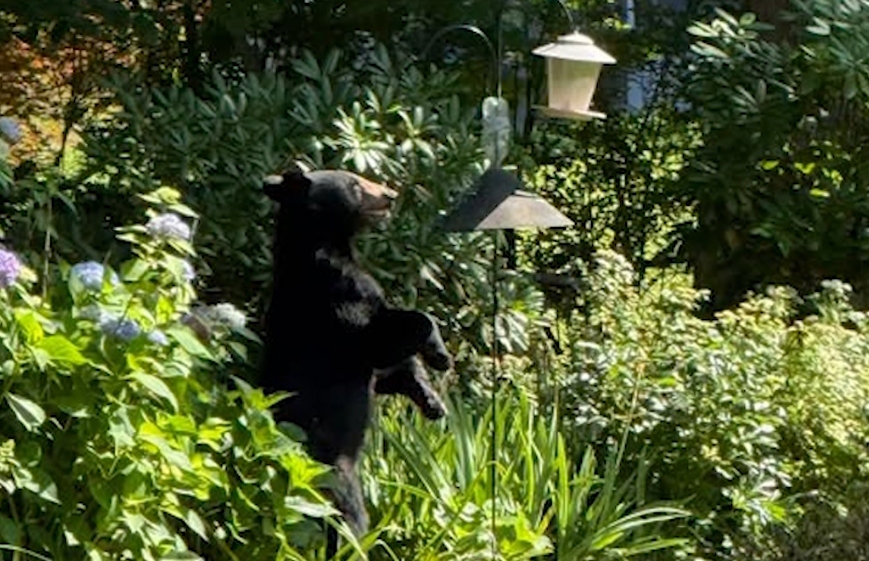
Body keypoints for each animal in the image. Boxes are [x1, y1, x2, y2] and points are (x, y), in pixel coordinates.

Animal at [260, 168, 452, 554]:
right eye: (355, 184)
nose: (390, 195)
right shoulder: (336, 299)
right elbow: (384, 339)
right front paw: (440, 355)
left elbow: (386, 372)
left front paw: (431, 399)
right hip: (330, 469)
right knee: (346, 514)